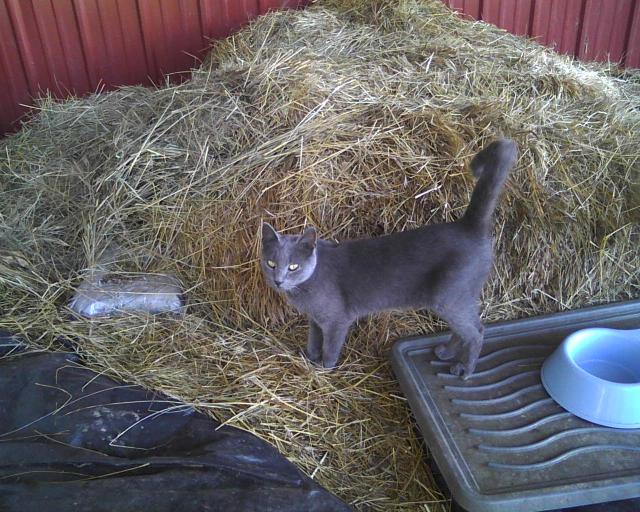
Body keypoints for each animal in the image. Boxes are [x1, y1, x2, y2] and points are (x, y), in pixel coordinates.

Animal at [262, 138, 516, 378]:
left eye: (293, 266)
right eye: (271, 263)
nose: (278, 280)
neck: (305, 289)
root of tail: (468, 225)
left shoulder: (336, 321)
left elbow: (330, 347)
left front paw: (324, 368)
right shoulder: (315, 320)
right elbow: (314, 340)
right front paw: (309, 357)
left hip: (450, 296)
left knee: (476, 331)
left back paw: (464, 369)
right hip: (455, 299)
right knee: (463, 329)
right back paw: (445, 352)